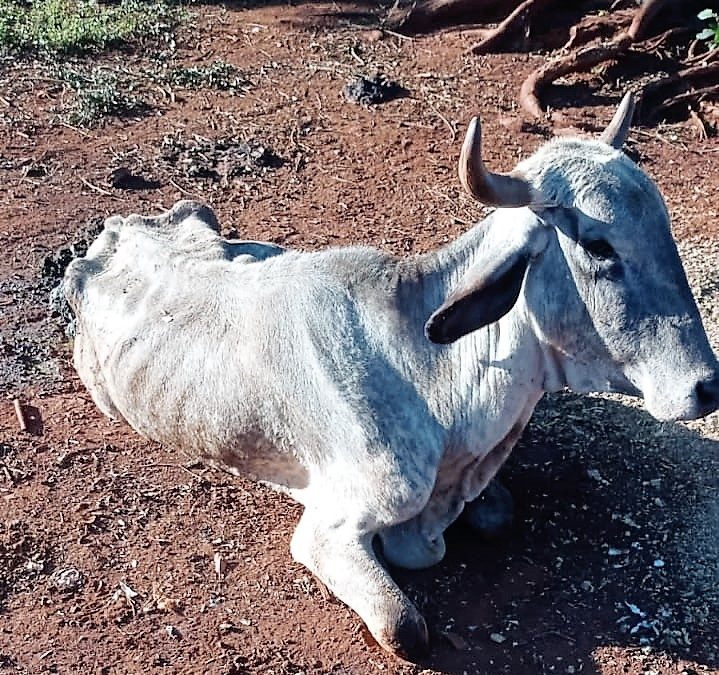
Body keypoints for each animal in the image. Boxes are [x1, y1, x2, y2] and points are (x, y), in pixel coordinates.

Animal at [63, 95, 719, 660]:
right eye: (598, 245)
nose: (706, 386)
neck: (434, 378)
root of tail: (112, 233)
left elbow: (498, 512)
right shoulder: (329, 529)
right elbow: (405, 628)